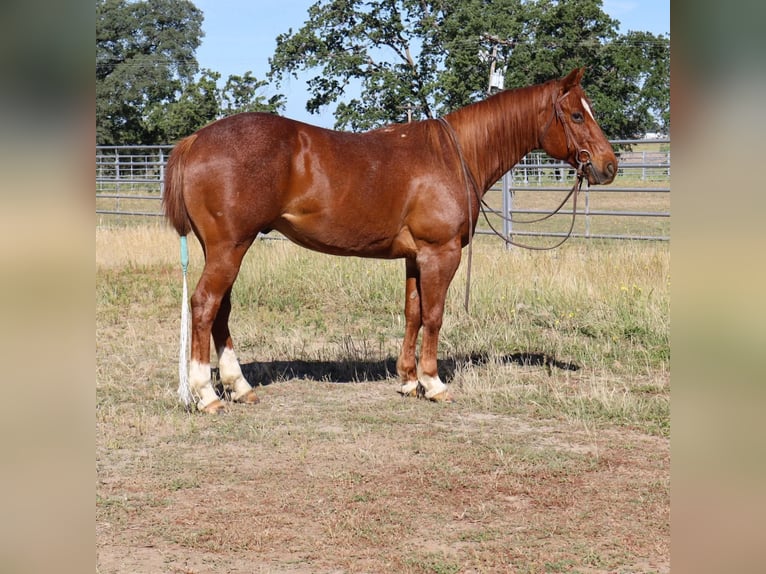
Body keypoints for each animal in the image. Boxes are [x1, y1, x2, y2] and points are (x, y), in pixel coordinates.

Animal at [163, 67, 617, 413]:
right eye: (576, 115)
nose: (609, 165)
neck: (453, 156)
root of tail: (196, 140)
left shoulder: (416, 258)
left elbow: (412, 313)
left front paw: (408, 380)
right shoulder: (440, 254)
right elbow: (434, 315)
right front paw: (434, 383)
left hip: (227, 249)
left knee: (220, 311)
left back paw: (239, 387)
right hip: (229, 249)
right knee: (205, 306)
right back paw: (206, 394)